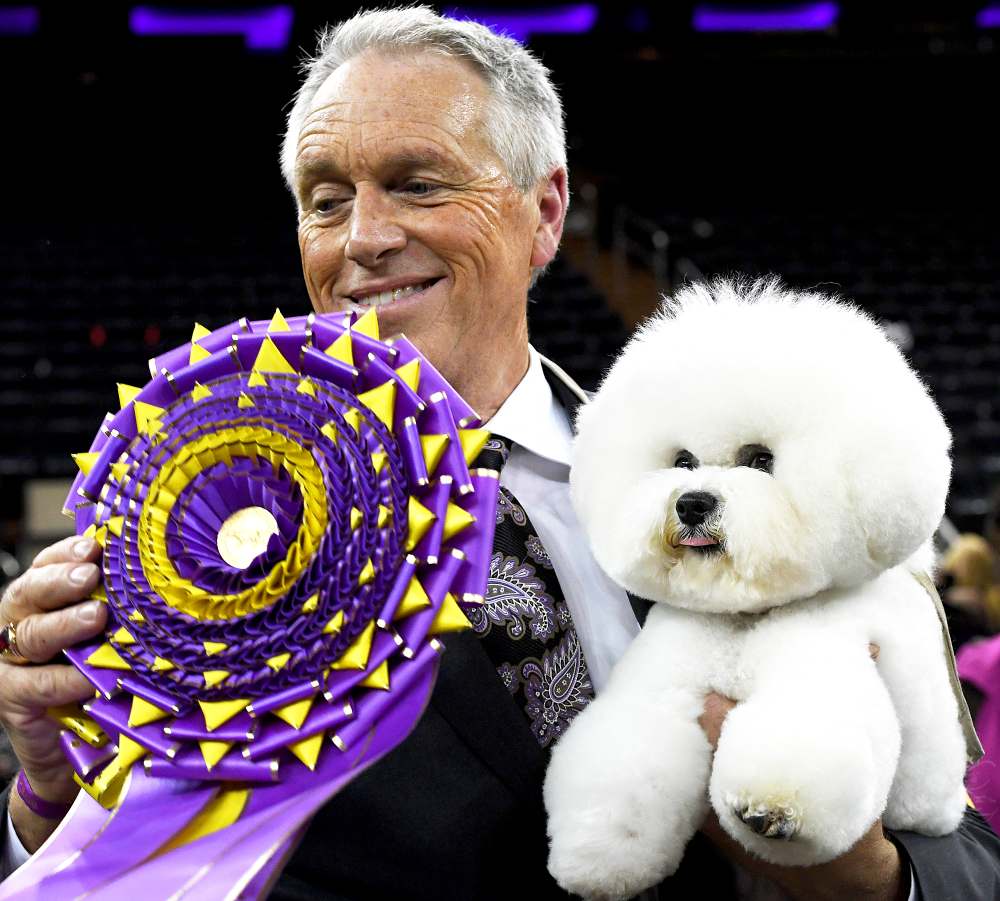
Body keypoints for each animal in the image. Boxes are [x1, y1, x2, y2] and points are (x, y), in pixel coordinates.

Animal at [544, 278, 972, 896]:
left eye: (761, 460)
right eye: (682, 460)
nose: (692, 503)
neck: (745, 619)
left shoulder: (823, 659)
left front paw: (772, 810)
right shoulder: (665, 681)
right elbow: (631, 754)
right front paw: (600, 854)